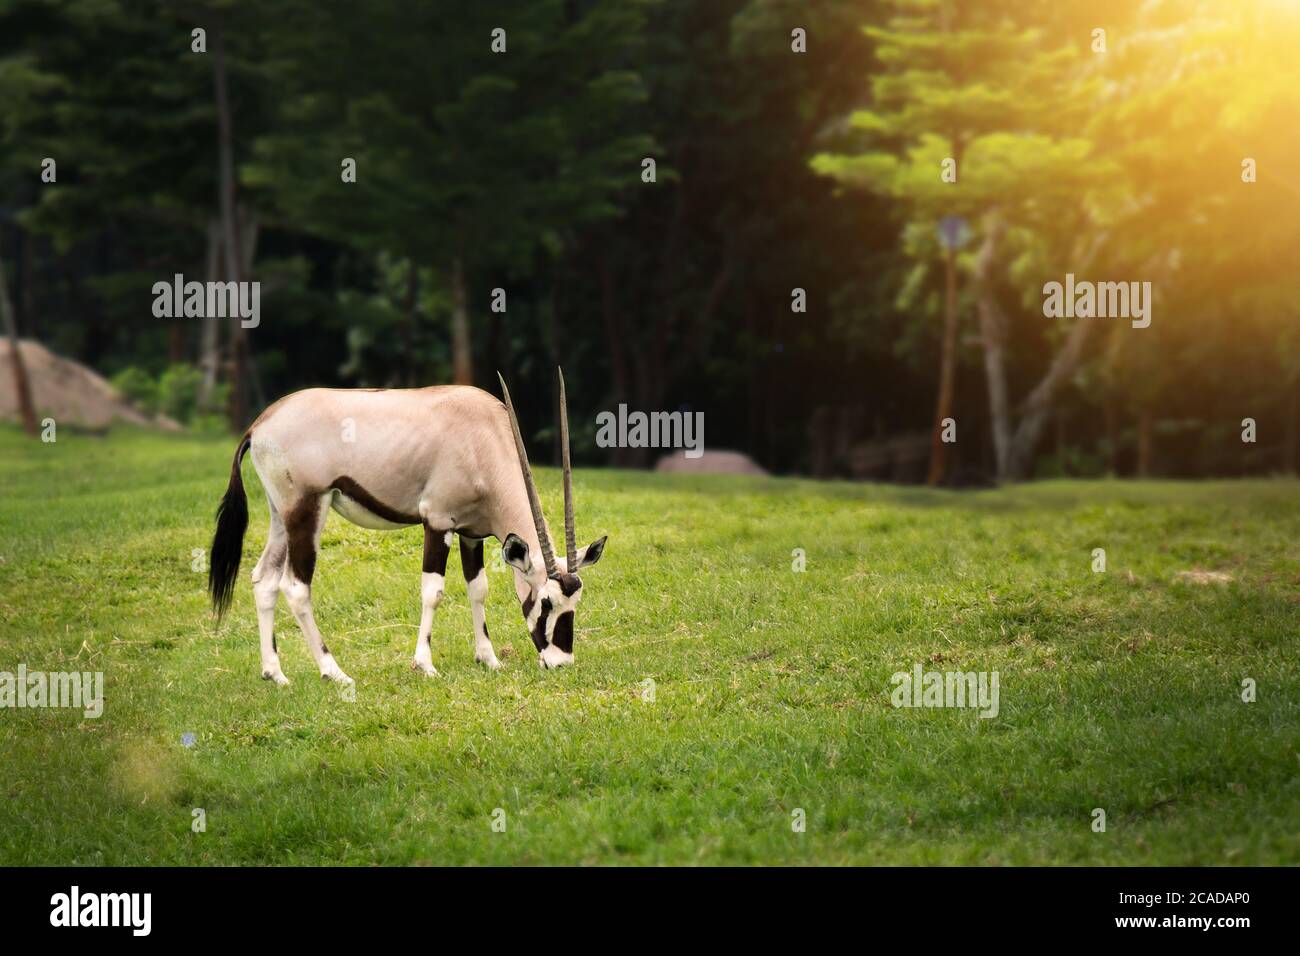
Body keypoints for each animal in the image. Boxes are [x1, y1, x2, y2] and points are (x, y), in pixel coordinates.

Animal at [205, 369, 605, 686]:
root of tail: (260, 424)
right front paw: (425, 664)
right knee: (295, 586)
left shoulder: (471, 532)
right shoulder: (438, 521)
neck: (483, 437)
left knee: (265, 579)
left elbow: (478, 589)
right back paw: (333, 671)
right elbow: (434, 591)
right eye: (547, 601)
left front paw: (489, 659)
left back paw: (275, 673)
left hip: (281, 515)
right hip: (308, 508)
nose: (561, 662)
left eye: (576, 600)